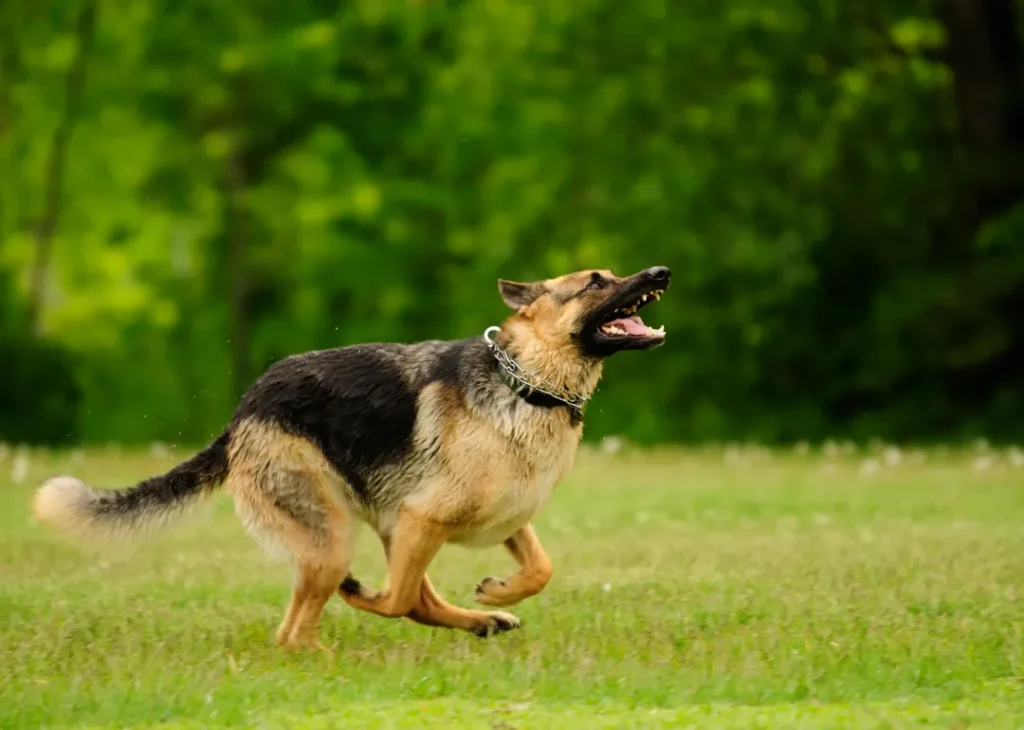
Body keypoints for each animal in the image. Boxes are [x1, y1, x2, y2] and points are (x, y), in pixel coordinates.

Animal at [32, 266, 667, 651]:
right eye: (595, 282)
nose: (659, 273)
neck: (527, 383)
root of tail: (243, 413)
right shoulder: (424, 519)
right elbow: (398, 601)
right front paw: (383, 599)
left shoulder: (499, 518)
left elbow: (539, 568)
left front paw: (496, 594)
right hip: (335, 536)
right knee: (318, 623)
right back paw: (326, 644)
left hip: (380, 526)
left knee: (403, 604)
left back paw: (482, 619)